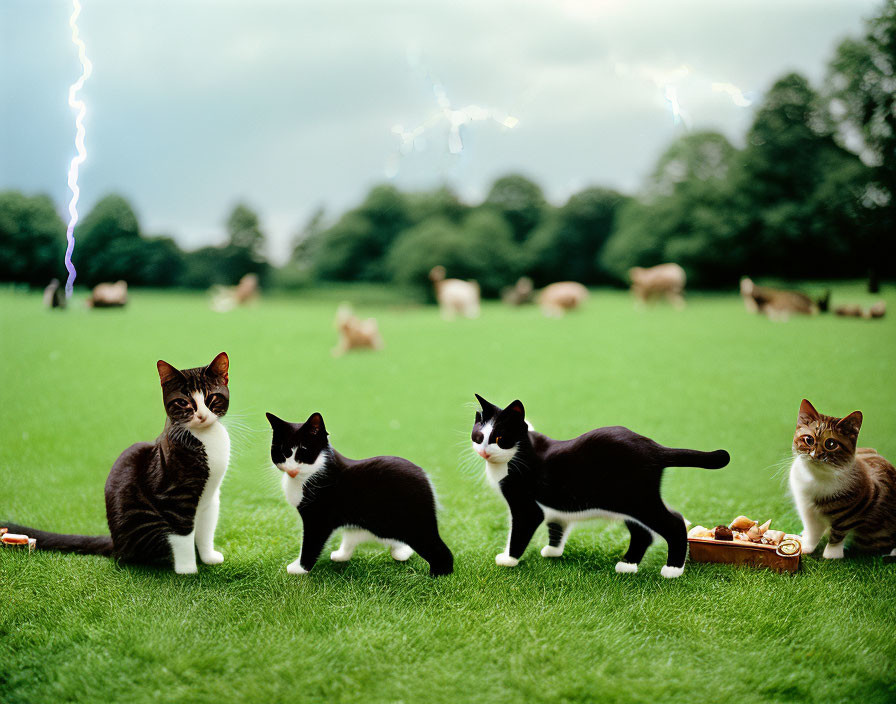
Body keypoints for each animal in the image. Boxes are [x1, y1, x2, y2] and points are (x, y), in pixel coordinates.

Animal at [2, 354, 231, 576]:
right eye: (183, 402)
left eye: (211, 397)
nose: (201, 416)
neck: (206, 438)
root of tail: (115, 543)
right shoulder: (174, 497)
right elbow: (182, 534)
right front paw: (187, 570)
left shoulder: (211, 498)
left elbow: (206, 530)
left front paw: (208, 558)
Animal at [262, 412, 452, 576]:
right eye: (281, 451)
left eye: (304, 450)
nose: (292, 469)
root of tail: (425, 478)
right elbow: (348, 536)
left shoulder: (318, 518)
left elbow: (311, 544)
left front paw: (300, 569)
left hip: (411, 521)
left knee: (438, 548)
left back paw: (438, 576)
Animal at [468, 396, 728, 576]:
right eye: (478, 437)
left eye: (500, 439)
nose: (484, 451)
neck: (521, 451)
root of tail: (655, 447)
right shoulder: (555, 510)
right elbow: (557, 526)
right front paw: (553, 550)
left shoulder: (526, 506)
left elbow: (520, 531)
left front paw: (509, 559)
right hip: (628, 502)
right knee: (643, 533)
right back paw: (627, 565)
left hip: (638, 500)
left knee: (674, 521)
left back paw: (672, 570)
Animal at [792, 398, 896, 560]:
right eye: (809, 440)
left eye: (831, 444)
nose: (816, 455)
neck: (815, 476)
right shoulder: (807, 509)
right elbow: (812, 532)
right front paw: (806, 547)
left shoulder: (856, 510)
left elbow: (838, 532)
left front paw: (832, 554)